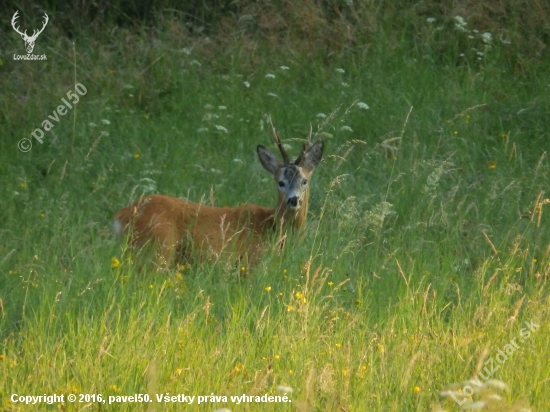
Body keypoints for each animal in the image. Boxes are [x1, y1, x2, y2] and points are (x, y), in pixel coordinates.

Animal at [114, 122, 326, 268]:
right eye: (280, 182)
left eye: (304, 181)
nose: (294, 200)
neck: (274, 228)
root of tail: (121, 216)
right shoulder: (251, 263)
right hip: (157, 249)